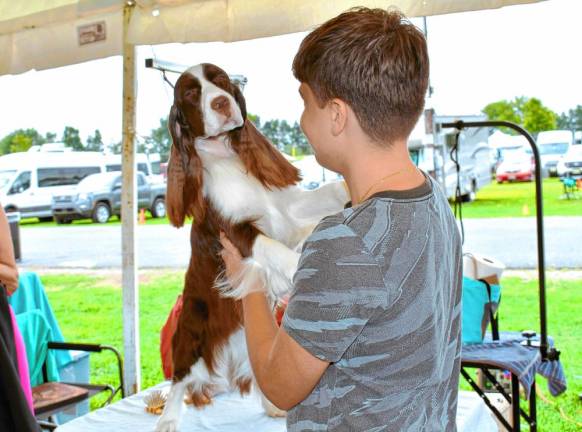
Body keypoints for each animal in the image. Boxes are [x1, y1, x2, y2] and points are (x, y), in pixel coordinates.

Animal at [155, 65, 350, 432]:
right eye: (189, 93)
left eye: (220, 80)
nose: (220, 102)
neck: (225, 157)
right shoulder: (233, 230)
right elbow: (273, 248)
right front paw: (302, 268)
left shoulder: (287, 205)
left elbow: (331, 190)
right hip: (190, 331)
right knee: (181, 377)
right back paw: (168, 419)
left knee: (262, 372)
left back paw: (272, 407)